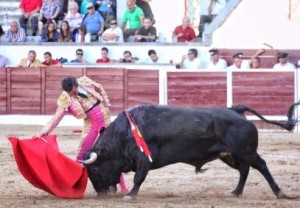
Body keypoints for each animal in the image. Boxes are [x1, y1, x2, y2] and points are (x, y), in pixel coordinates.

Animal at [81, 103, 298, 199]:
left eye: (95, 169)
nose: (100, 194)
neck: (123, 132)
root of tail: (235, 110)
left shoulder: (143, 159)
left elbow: (138, 178)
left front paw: (131, 195)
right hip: (230, 155)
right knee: (244, 170)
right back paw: (236, 192)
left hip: (246, 151)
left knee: (261, 165)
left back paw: (279, 192)